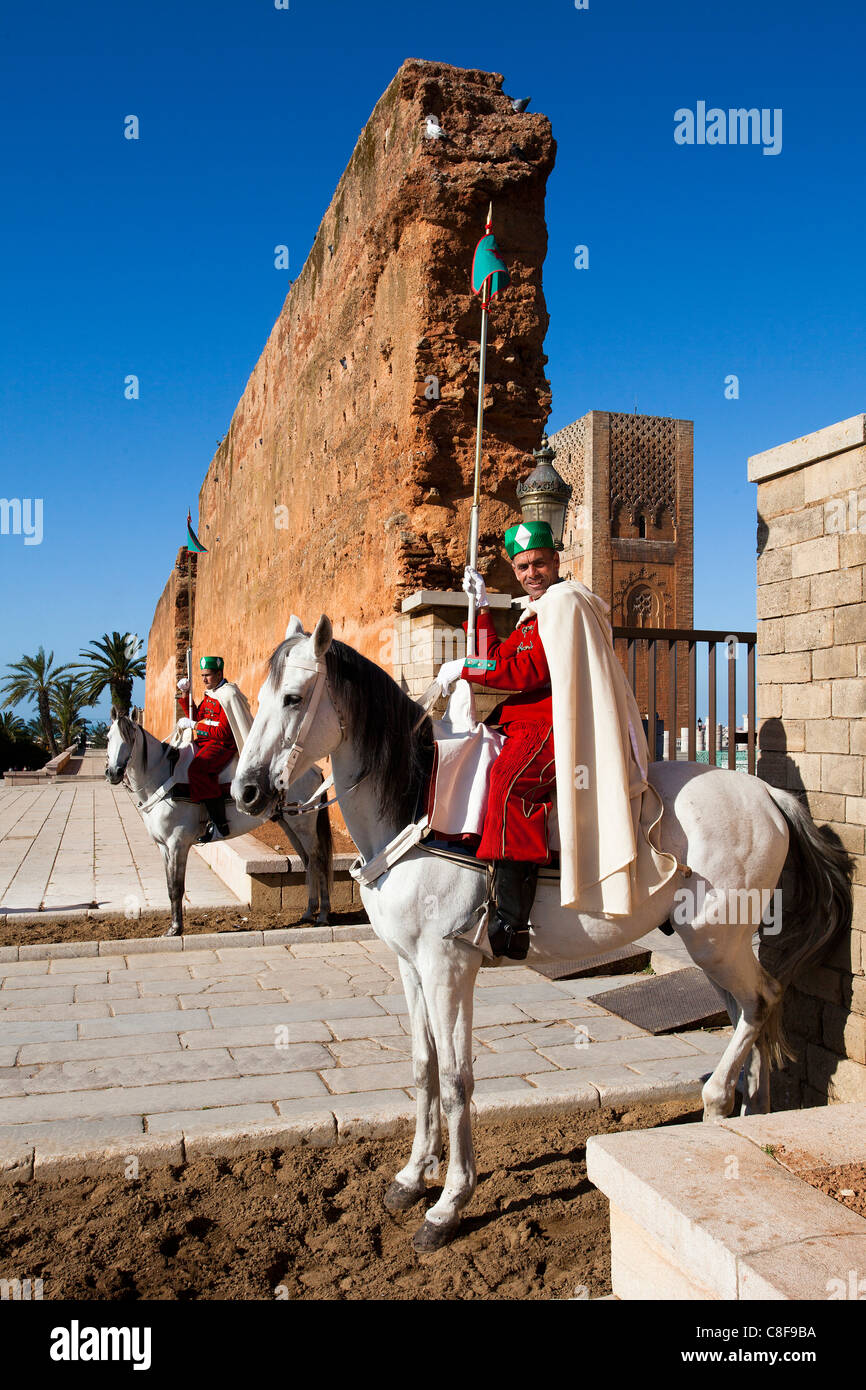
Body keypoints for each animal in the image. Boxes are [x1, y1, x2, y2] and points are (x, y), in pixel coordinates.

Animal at [105, 711, 335, 939]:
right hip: (290, 825)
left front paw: (176, 928)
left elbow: (177, 888)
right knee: (309, 863)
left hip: (304, 827)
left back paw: (323, 915)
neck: (162, 778)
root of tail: (314, 770)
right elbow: (170, 886)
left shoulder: (178, 844)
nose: (112, 772)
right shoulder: (163, 847)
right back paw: (309, 912)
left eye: (129, 738)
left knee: (319, 861)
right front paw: (173, 927)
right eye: (108, 737)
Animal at [229, 617, 856, 1251]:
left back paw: (718, 1101)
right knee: (747, 1013)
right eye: (259, 697)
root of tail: (766, 794)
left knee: (762, 1002)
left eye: (293, 698)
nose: (247, 791)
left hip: (715, 940)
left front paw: (448, 1203)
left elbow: (456, 1079)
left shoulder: (448, 966)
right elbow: (423, 1067)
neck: (415, 808)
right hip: (716, 946)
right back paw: (746, 1113)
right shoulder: (410, 965)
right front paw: (410, 1178)